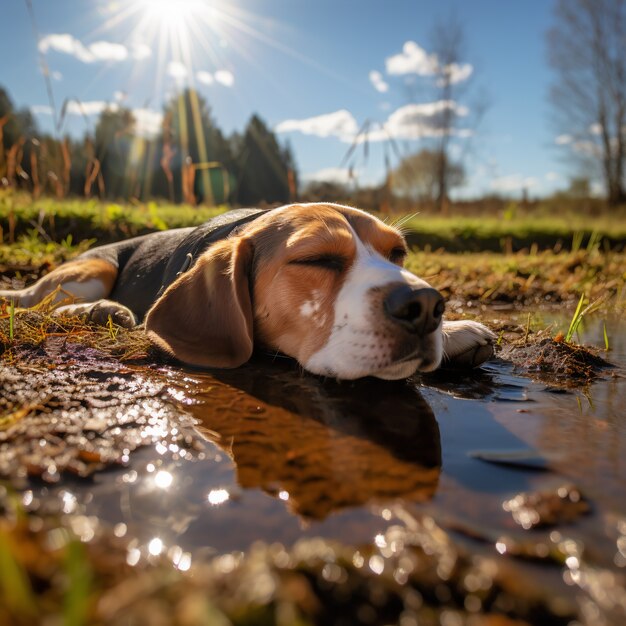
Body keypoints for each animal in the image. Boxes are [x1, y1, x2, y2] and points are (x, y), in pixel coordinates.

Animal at [0, 202, 492, 378]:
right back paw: (95, 310)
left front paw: (455, 332)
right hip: (94, 268)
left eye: (398, 254)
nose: (426, 306)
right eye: (317, 260)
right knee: (36, 305)